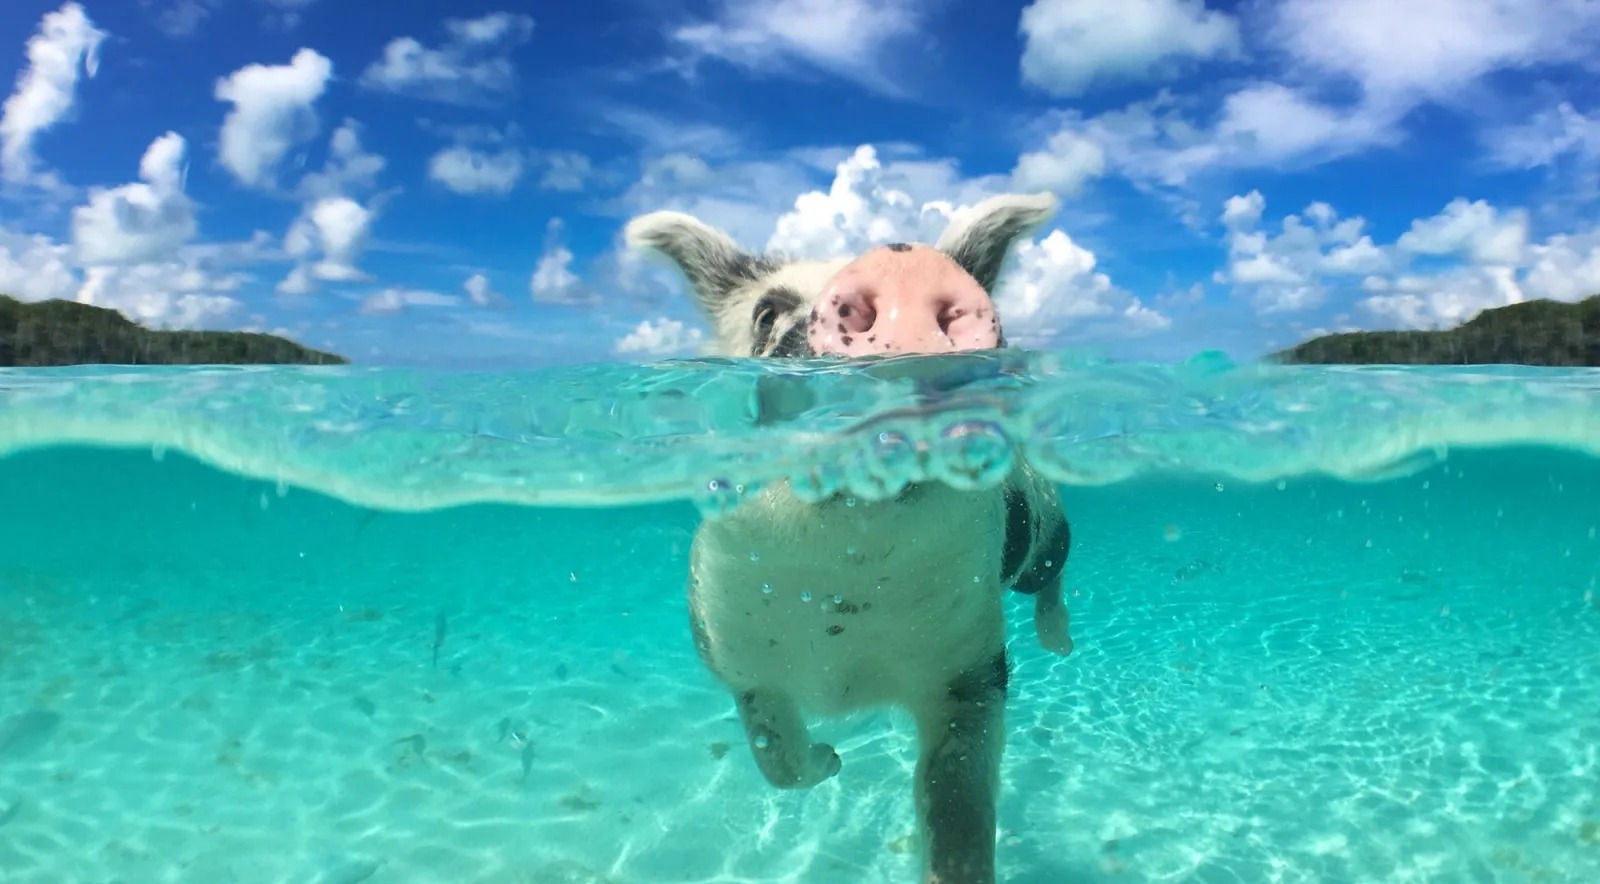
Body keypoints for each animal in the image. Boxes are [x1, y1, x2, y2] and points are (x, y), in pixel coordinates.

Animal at [623, 192, 1074, 884]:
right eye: (766, 314)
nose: (902, 266)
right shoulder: (733, 651)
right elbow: (776, 757)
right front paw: (832, 759)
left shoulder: (974, 667)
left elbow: (957, 798)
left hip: (1042, 525)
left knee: (1050, 572)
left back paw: (1060, 644)